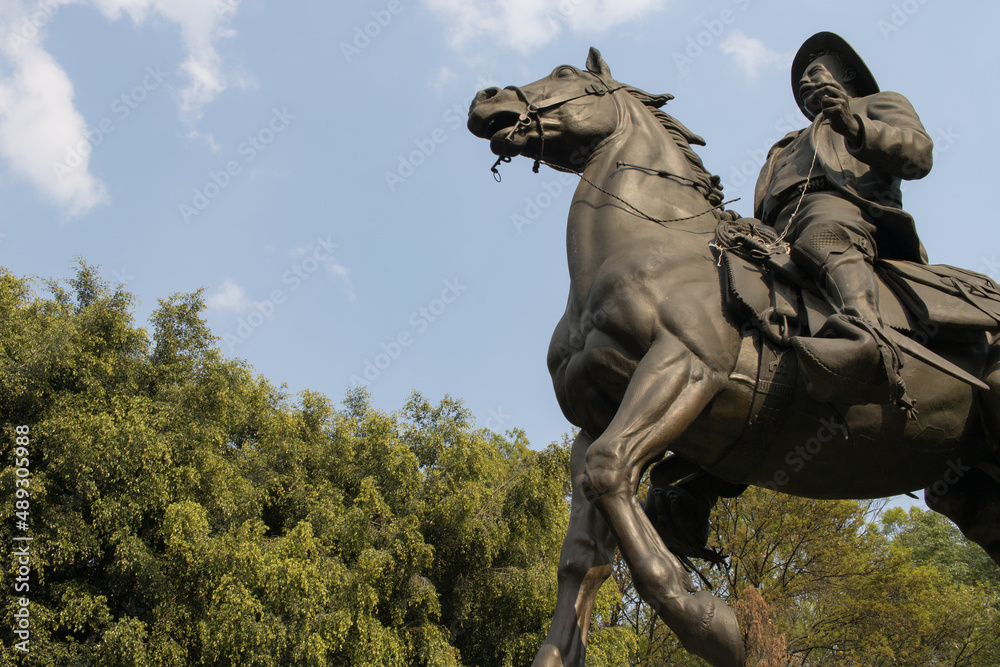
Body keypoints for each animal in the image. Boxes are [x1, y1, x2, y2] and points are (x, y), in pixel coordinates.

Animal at [468, 48, 1000, 667]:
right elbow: (582, 555)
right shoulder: (593, 418)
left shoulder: (684, 366)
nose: (485, 100)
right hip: (968, 487)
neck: (653, 244)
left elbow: (611, 469)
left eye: (566, 76)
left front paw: (712, 622)